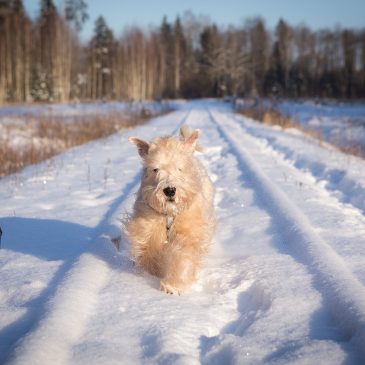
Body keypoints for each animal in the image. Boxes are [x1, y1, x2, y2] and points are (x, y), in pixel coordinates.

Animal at [123, 126, 215, 294]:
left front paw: (172, 286)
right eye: (155, 169)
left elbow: (184, 256)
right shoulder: (148, 230)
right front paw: (156, 271)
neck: (170, 214)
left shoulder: (189, 231)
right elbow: (149, 253)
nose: (170, 190)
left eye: (179, 168)